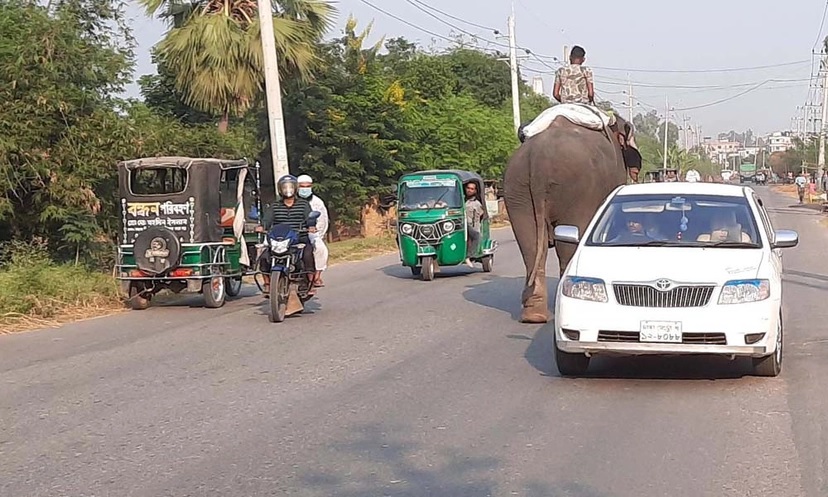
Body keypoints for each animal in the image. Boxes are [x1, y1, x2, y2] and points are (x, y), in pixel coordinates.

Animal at [502, 111, 644, 324]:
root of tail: (538, 160)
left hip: (517, 189)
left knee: (531, 245)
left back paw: (533, 316)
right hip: (577, 191)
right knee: (567, 244)